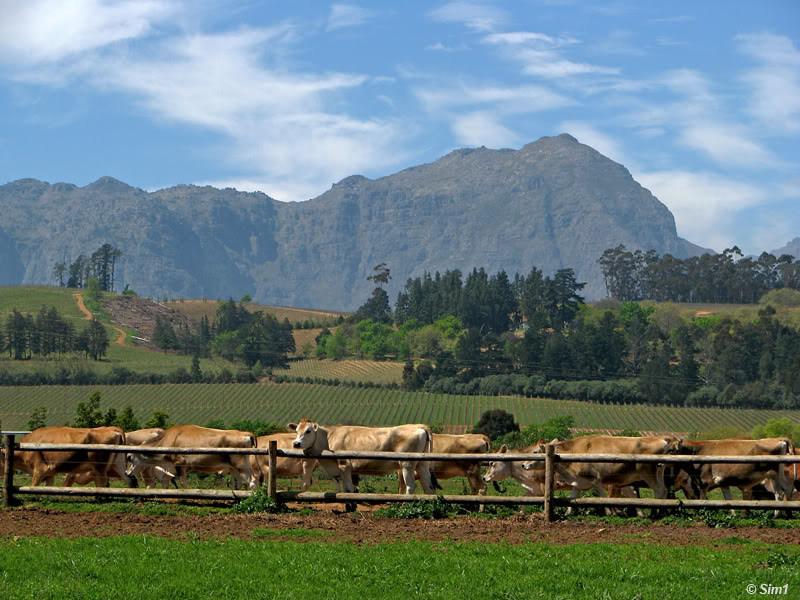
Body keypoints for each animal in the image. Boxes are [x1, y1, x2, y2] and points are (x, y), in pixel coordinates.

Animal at [126, 424, 256, 490]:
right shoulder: (168, 471)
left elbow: (183, 484)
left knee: (252, 481)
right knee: (238, 484)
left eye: (130, 457)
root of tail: (244, 433)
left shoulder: (180, 464)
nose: (127, 472)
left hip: (241, 465)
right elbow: (165, 484)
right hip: (234, 469)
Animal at [290, 420, 438, 494]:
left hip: (407, 464)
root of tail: (418, 426)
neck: (329, 437)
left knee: (410, 486)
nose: (296, 443)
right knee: (429, 487)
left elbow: (348, 489)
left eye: (308, 431)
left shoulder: (344, 466)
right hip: (422, 464)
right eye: (296, 431)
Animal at [520, 436, 684, 516]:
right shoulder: (578, 483)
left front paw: (610, 513)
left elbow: (602, 497)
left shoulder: (597, 480)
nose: (523, 465)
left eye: (535, 452)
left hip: (649, 474)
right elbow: (572, 500)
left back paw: (655, 512)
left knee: (659, 491)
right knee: (663, 491)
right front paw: (567, 513)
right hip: (657, 473)